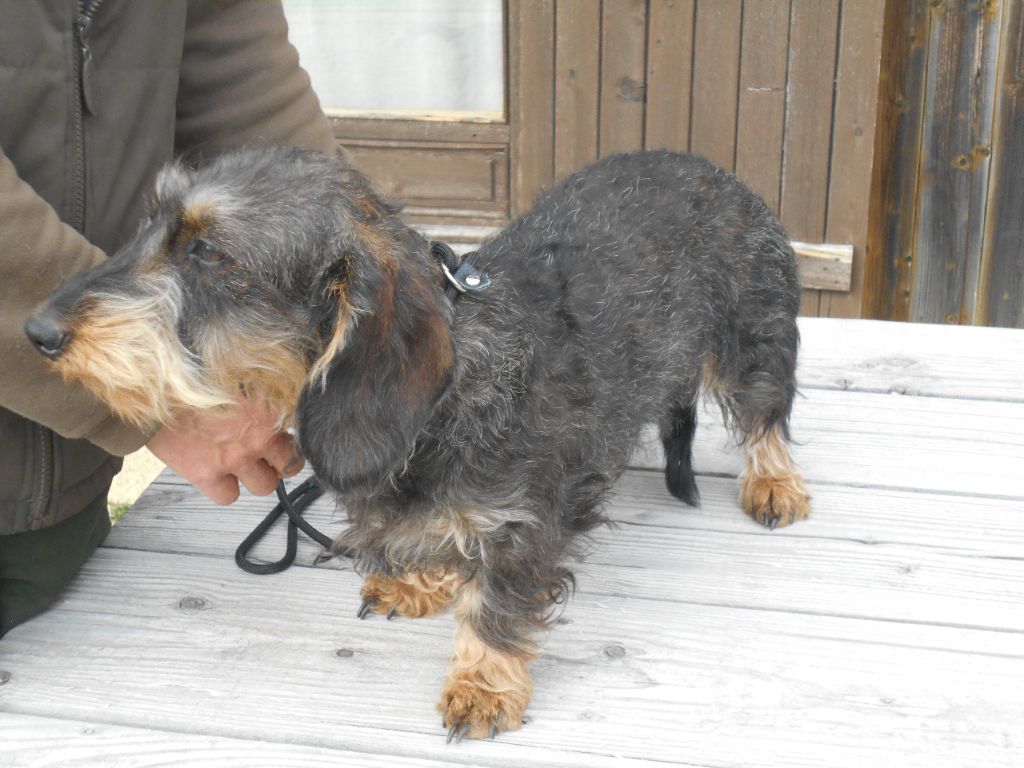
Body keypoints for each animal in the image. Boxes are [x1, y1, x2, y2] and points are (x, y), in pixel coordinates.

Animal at [26, 146, 810, 740]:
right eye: (149, 226)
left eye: (208, 252)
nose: (36, 331)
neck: (446, 398)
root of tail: (710, 166)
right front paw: (419, 579)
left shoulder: (525, 522)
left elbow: (494, 599)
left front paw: (482, 684)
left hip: (753, 336)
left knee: (766, 414)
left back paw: (775, 483)